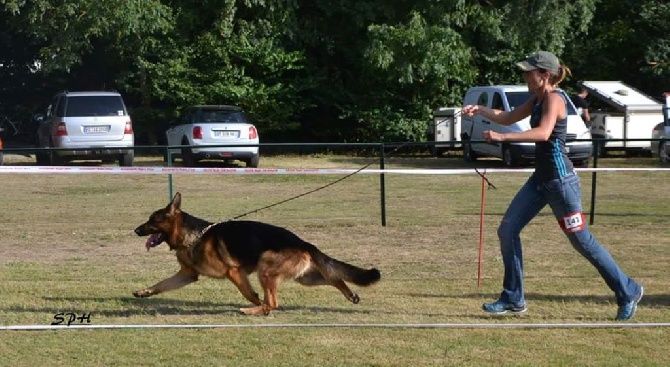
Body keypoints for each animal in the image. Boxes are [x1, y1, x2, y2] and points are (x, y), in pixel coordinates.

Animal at [133, 193, 384, 316]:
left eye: (151, 220)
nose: (135, 230)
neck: (193, 236)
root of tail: (304, 243)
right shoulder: (188, 275)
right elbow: (162, 284)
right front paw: (144, 292)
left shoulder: (234, 272)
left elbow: (250, 293)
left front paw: (255, 303)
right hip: (306, 277)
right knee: (335, 278)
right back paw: (351, 295)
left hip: (266, 267)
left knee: (273, 302)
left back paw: (253, 311)